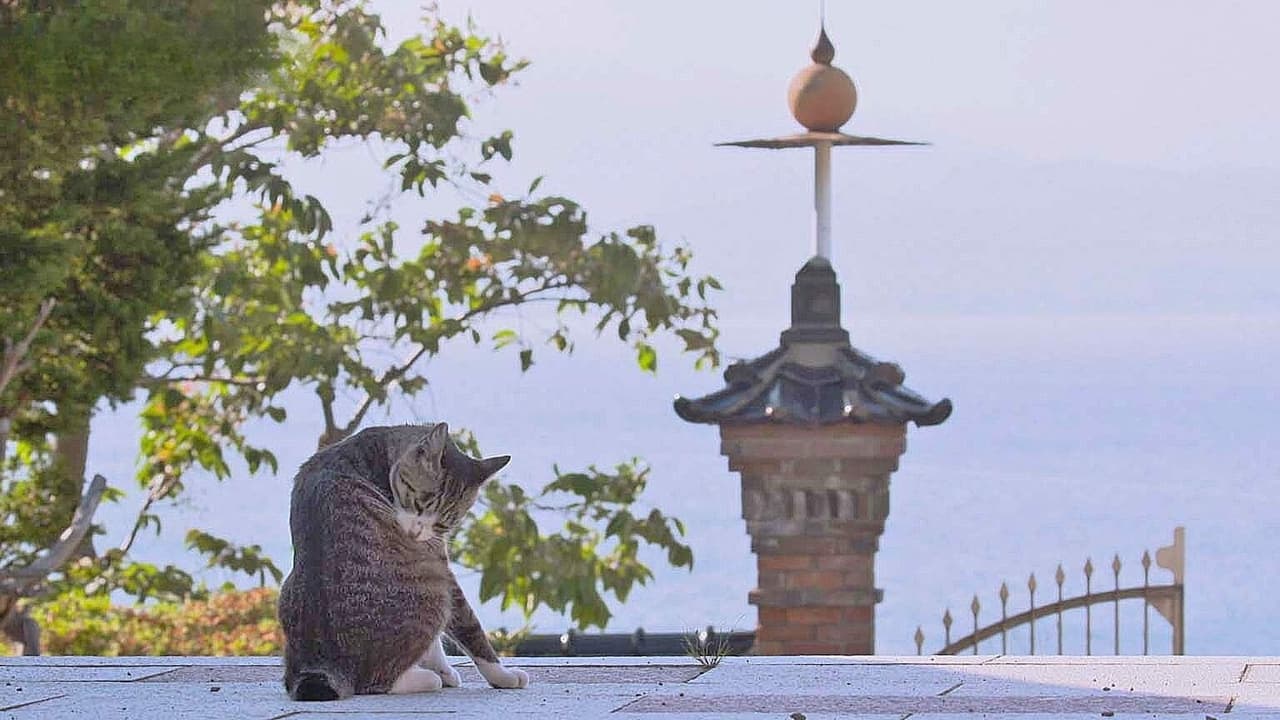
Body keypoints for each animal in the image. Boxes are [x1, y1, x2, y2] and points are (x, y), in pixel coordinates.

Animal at [277, 422, 527, 696]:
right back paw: (425, 678)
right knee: (374, 682)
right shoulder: (439, 567)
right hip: (432, 593)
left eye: (442, 523)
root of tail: (328, 663)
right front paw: (502, 676)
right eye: (419, 503)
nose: (416, 533)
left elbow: (434, 645)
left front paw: (445, 670)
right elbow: (469, 629)